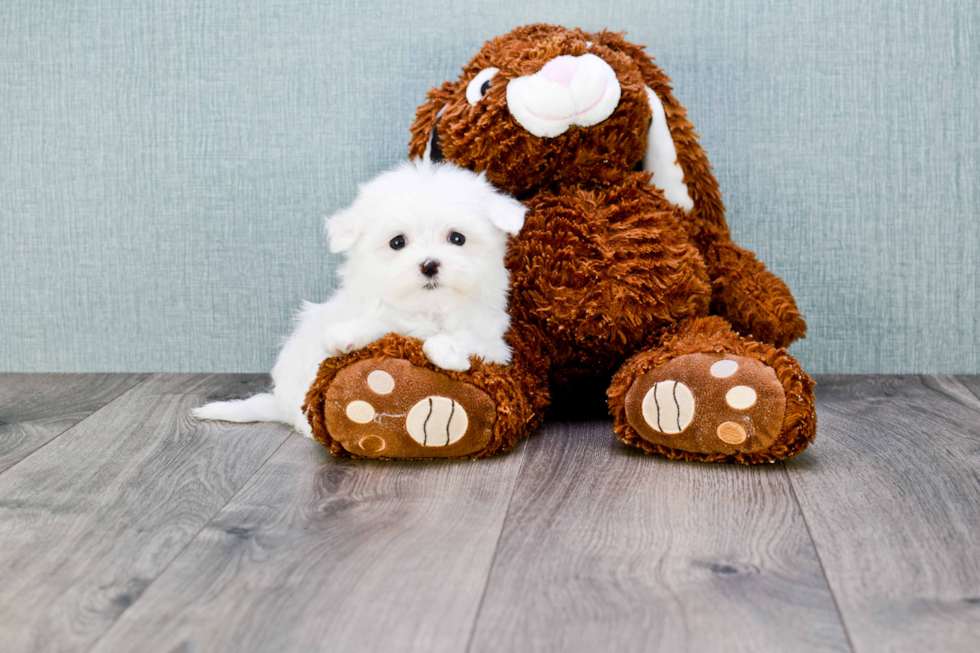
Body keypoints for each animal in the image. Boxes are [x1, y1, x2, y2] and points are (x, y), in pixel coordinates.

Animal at [193, 159, 528, 436]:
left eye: (457, 238)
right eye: (397, 242)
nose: (430, 264)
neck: (427, 309)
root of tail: (280, 406)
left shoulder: (495, 346)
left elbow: (460, 337)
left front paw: (446, 352)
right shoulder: (382, 315)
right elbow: (376, 323)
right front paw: (345, 336)